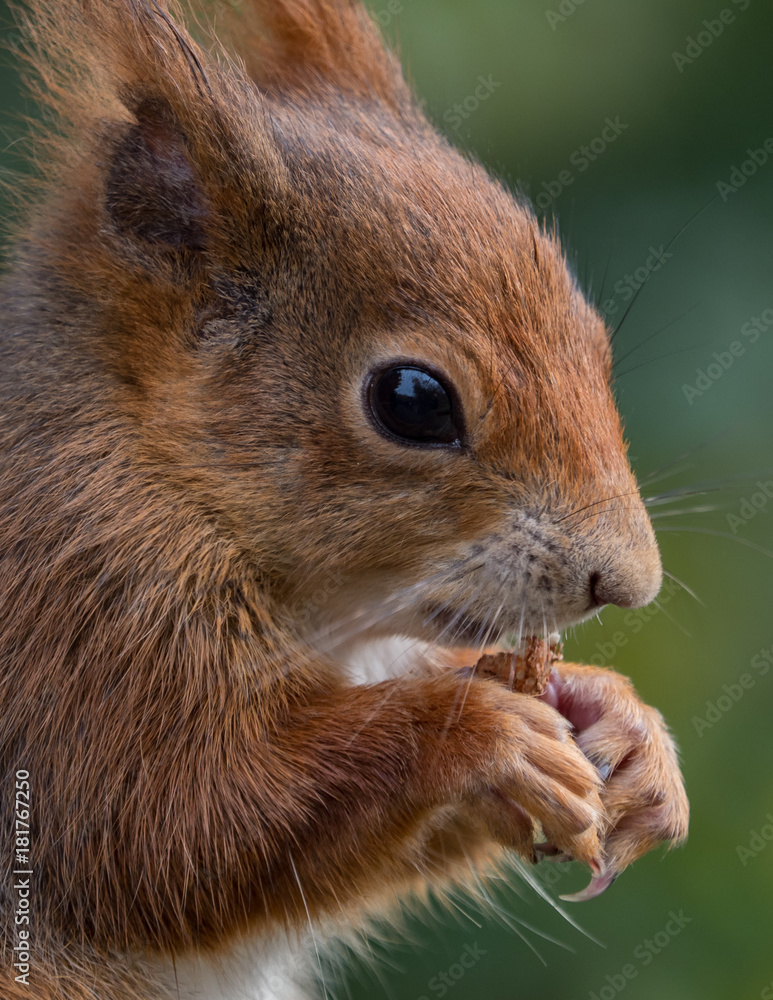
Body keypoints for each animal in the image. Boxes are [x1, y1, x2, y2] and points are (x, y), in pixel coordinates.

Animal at [0, 1, 688, 1000]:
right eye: (413, 401)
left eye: (595, 342)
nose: (628, 583)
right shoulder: (71, 603)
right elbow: (161, 827)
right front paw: (473, 732)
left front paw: (626, 729)